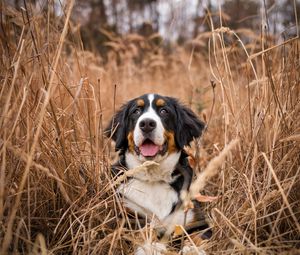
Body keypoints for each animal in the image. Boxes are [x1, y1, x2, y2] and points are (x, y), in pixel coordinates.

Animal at [105, 94, 211, 255]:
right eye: (136, 111)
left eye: (163, 111)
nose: (147, 124)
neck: (153, 178)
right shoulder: (127, 217)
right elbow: (141, 231)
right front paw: (151, 246)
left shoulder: (196, 220)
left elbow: (197, 236)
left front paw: (193, 249)